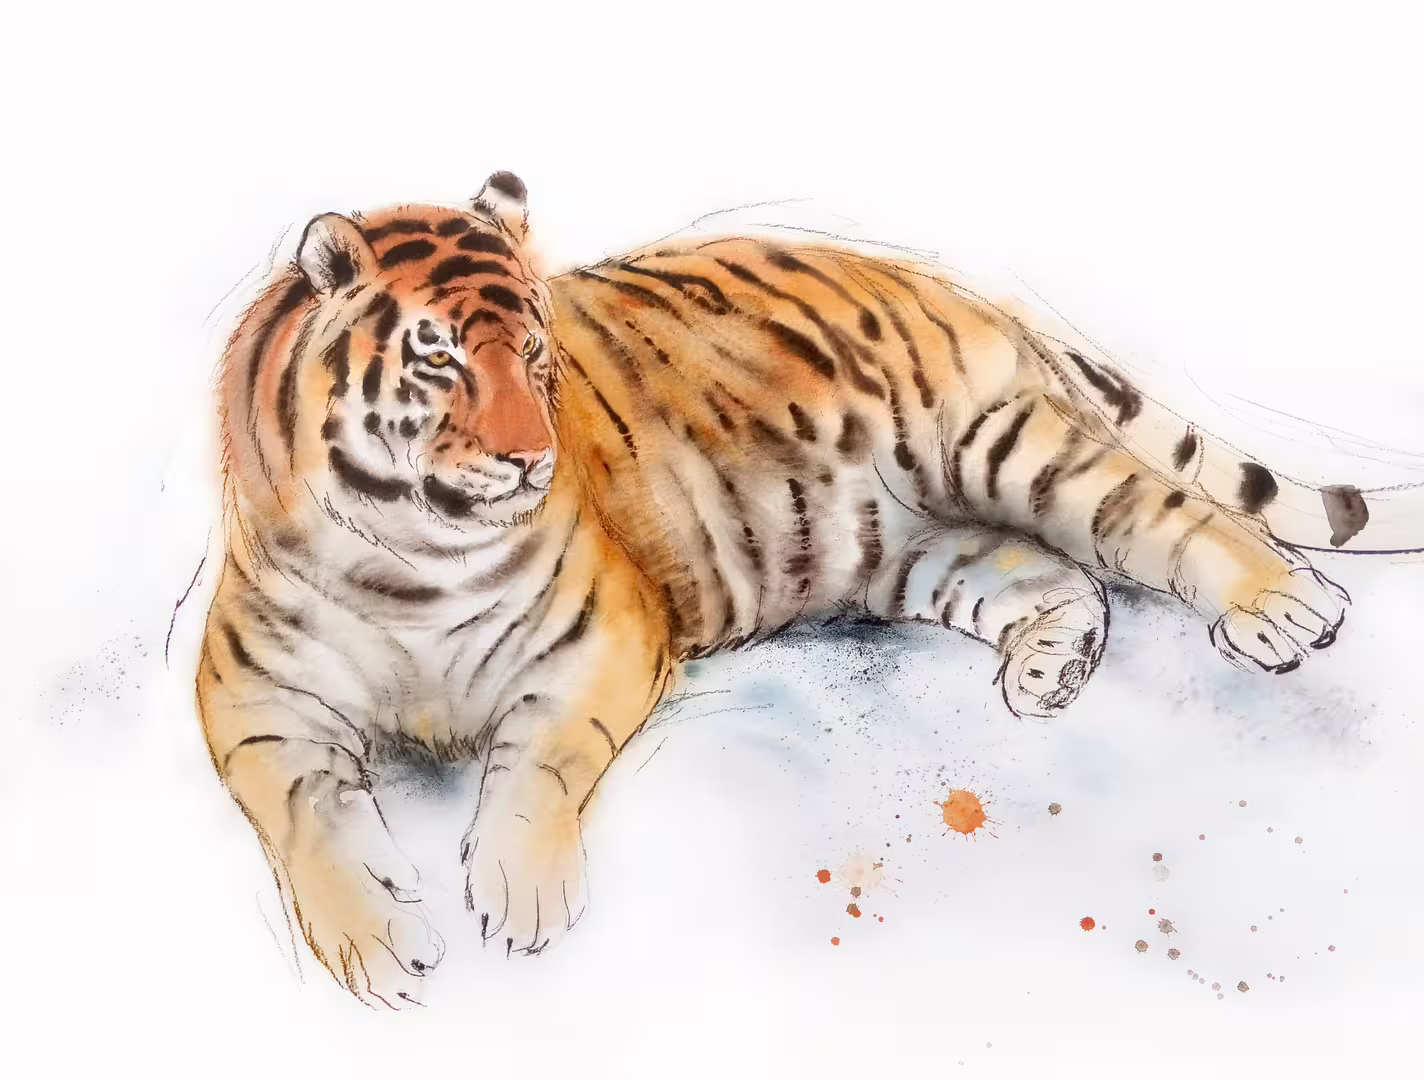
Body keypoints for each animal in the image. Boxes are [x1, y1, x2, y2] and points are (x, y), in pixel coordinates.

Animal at [198, 170, 1412, 1009]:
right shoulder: (251, 701)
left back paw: (1283, 608)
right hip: (904, 548)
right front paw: (374, 944)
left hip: (1002, 447)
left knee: (1163, 514)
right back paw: (1049, 672)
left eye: (538, 357)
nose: (531, 459)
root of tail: (940, 279)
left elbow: (536, 764)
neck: (410, 558)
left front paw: (518, 897)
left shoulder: (601, 641)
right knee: (1059, 576)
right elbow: (304, 818)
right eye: (440, 356)